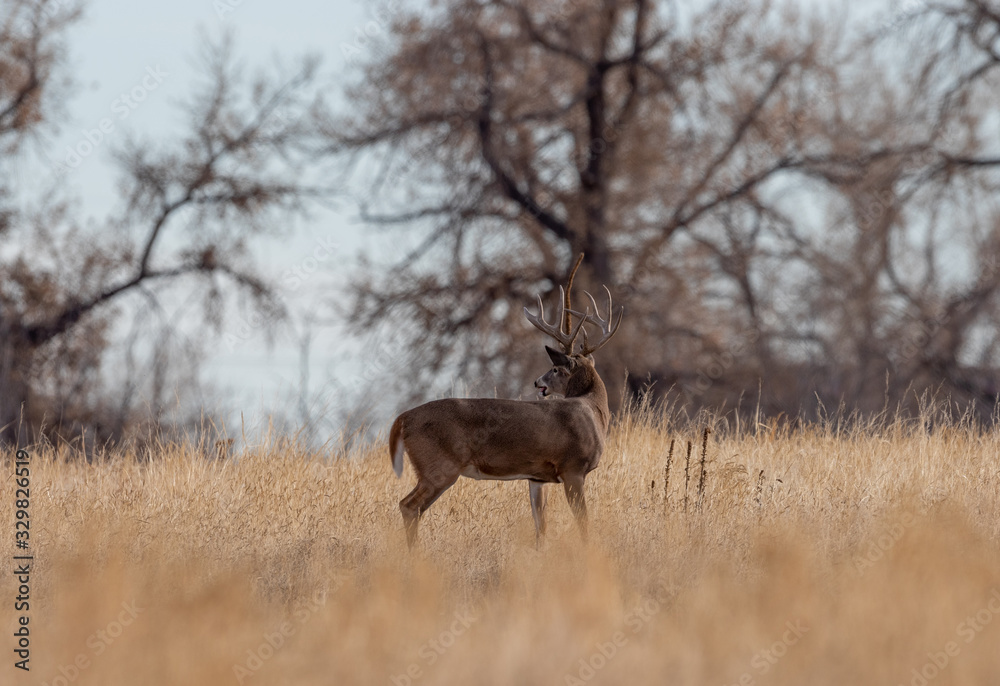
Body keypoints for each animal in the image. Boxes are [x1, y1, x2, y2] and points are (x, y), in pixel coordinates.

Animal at [387, 284, 623, 548]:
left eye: (554, 370)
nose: (537, 382)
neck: (594, 411)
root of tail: (402, 419)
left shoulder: (538, 477)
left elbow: (541, 525)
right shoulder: (573, 467)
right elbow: (583, 521)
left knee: (410, 507)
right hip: (438, 467)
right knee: (409, 506)